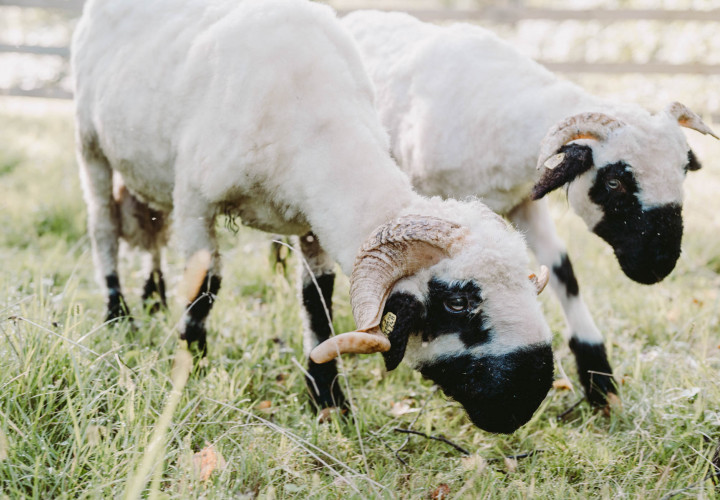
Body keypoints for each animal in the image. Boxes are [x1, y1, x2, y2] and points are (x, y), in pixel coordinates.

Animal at [72, 0, 556, 433]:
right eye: (457, 302)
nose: (528, 402)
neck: (311, 108)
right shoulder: (195, 202)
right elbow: (204, 289)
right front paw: (190, 367)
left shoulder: (314, 224)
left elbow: (317, 303)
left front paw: (329, 401)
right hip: (91, 144)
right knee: (103, 229)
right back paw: (118, 314)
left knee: (151, 228)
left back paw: (153, 297)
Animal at [341, 10, 719, 406]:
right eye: (615, 182)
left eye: (683, 172)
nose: (658, 266)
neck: (500, 107)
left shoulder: (523, 203)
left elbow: (564, 272)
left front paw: (599, 380)